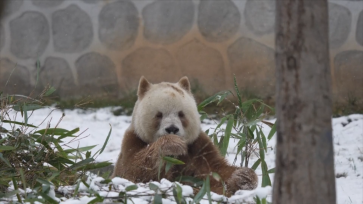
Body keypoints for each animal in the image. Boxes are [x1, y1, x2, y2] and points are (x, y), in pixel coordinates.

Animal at [112, 75, 258, 195]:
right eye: (159, 115)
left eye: (181, 114)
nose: (172, 128)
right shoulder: (133, 140)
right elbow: (133, 171)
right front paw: (171, 145)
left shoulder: (198, 147)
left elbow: (216, 171)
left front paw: (243, 177)